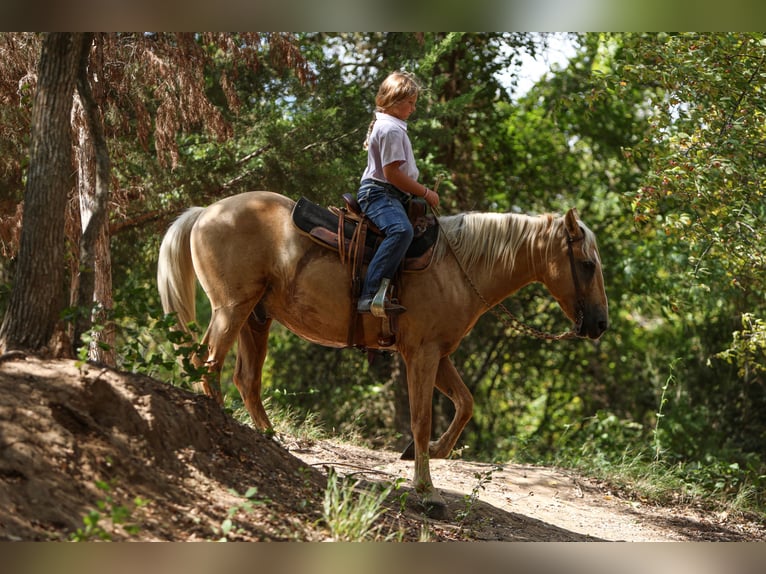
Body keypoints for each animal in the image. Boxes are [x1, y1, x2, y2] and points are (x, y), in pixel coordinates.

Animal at [158, 190, 612, 516]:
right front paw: (427, 493)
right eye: (588, 265)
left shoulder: (438, 355)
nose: (600, 325)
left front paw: (431, 454)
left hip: (256, 318)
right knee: (207, 364)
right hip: (231, 309)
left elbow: (465, 404)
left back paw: (270, 441)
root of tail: (205, 211)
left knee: (245, 379)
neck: (458, 267)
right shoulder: (422, 355)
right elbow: (422, 420)